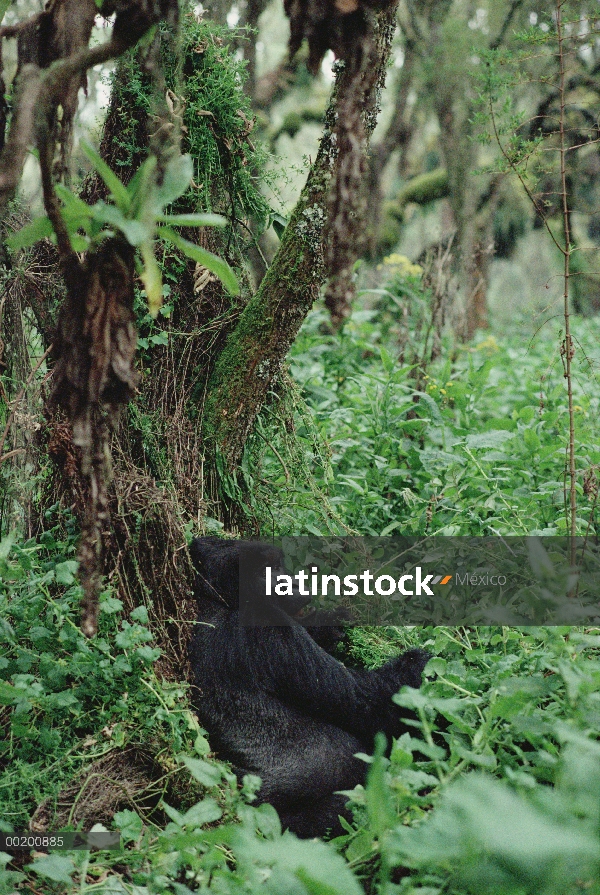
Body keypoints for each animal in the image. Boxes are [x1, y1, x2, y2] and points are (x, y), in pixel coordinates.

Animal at [190, 540, 428, 840]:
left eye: (279, 565)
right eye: (270, 570)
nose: (295, 584)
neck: (221, 600)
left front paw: (330, 622)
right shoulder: (269, 625)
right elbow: (366, 702)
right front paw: (419, 664)